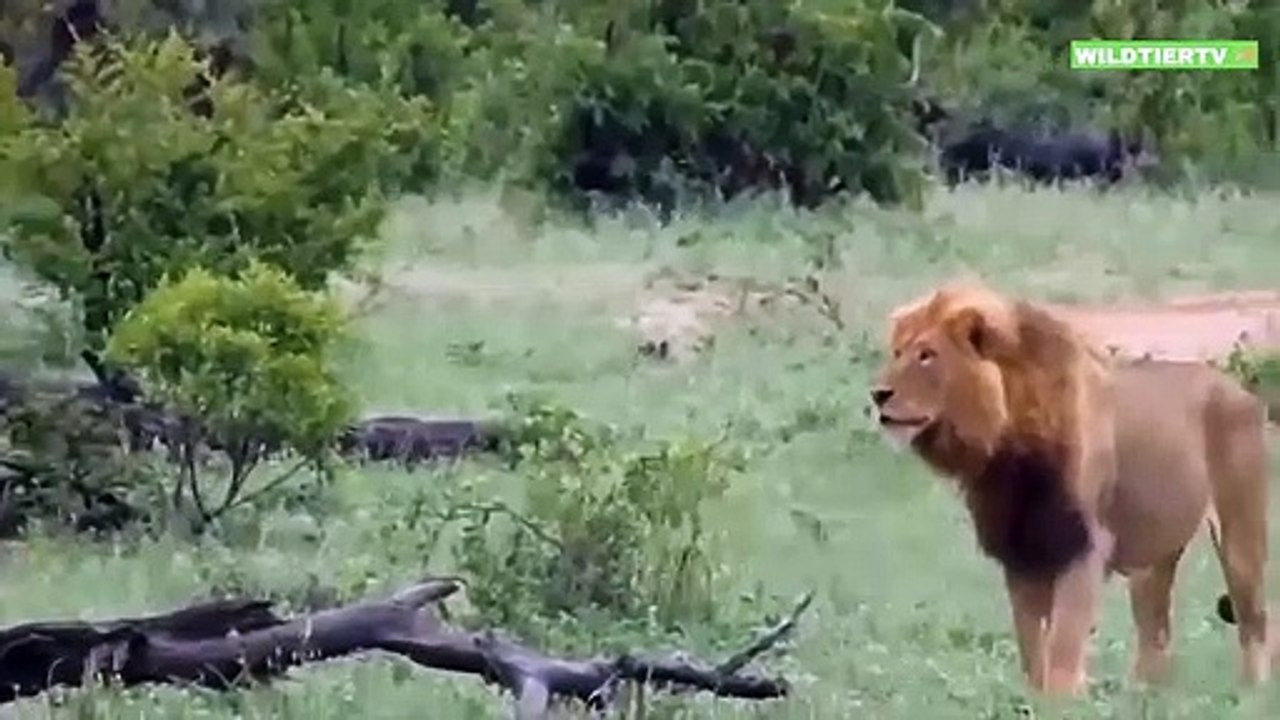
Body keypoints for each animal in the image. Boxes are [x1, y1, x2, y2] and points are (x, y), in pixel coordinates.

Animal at [869, 280, 1271, 696]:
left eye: (926, 355)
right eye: (897, 352)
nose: (877, 393)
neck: (1008, 450)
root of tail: (1238, 388)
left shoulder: (1083, 547)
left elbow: (1063, 643)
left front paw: (1062, 699)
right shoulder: (1022, 555)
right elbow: (1032, 647)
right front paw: (1033, 696)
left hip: (1240, 531)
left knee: (1254, 618)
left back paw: (1251, 692)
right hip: (1153, 557)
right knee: (1156, 632)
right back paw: (1145, 694)